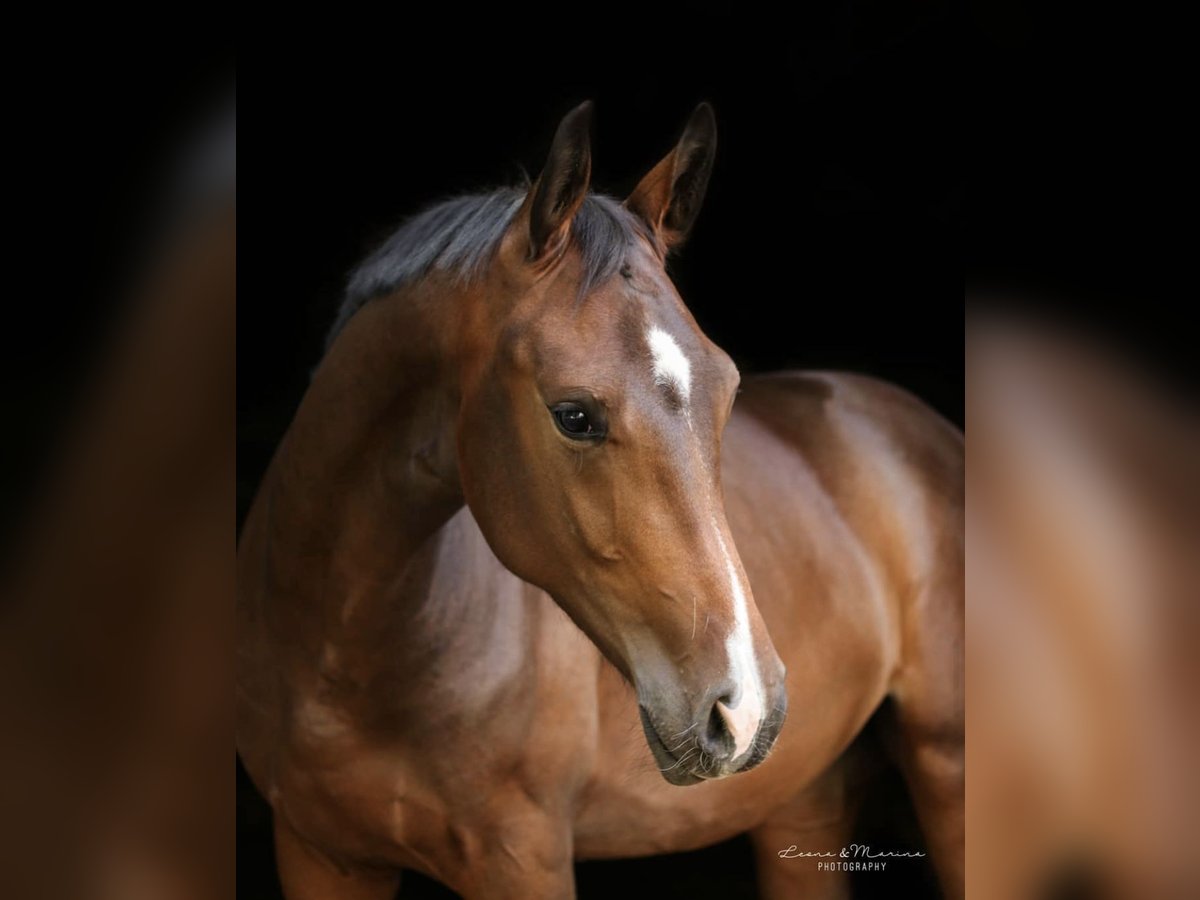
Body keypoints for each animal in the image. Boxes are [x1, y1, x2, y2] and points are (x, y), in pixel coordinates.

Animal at [236, 102, 964, 897]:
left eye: (729, 389)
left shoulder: (522, 859)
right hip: (802, 805)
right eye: (574, 415)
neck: (343, 652)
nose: (742, 708)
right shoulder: (317, 853)